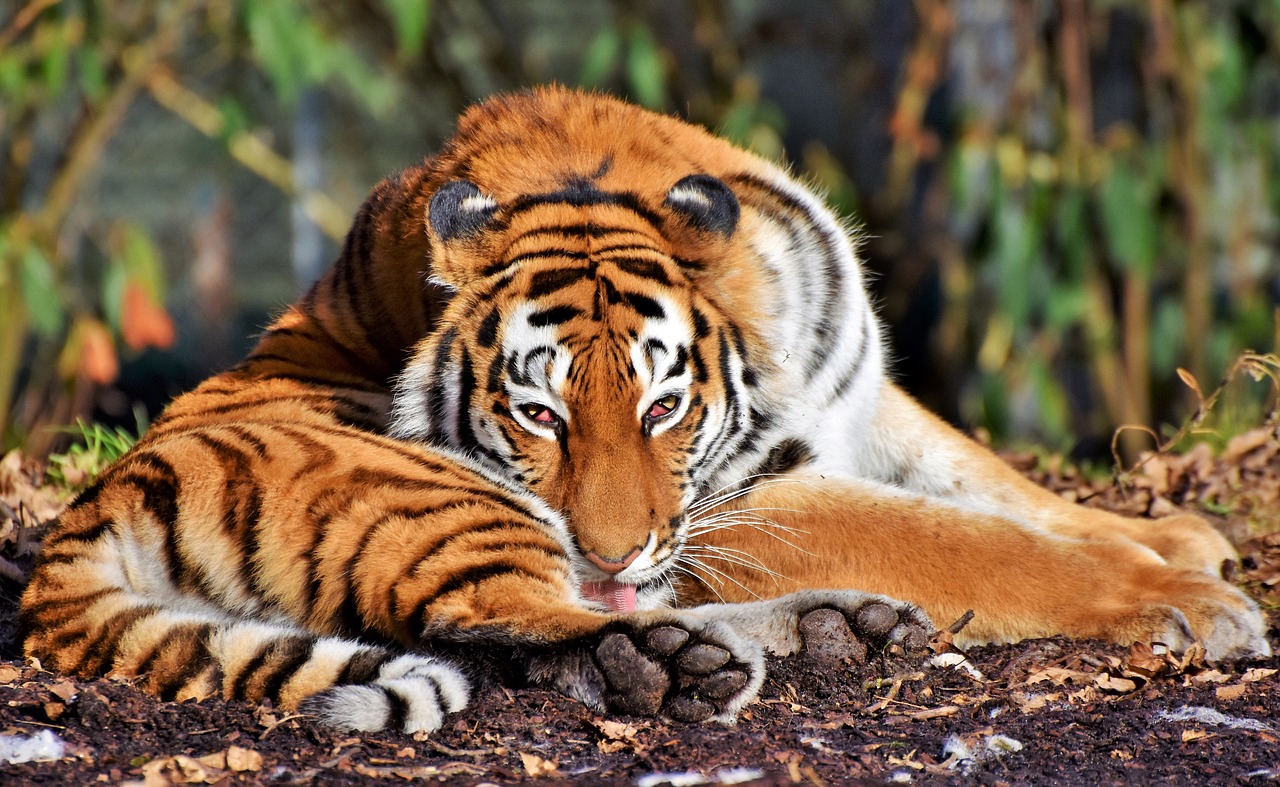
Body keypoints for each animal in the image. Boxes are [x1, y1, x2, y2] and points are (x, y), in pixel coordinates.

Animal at [20, 87, 1267, 735]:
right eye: (536, 415)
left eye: (666, 403)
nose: (614, 545)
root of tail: (78, 532)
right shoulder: (754, 494)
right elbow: (971, 542)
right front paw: (1187, 602)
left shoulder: (852, 396)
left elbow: (990, 484)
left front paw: (1179, 540)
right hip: (441, 503)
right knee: (512, 621)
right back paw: (686, 660)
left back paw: (825, 633)